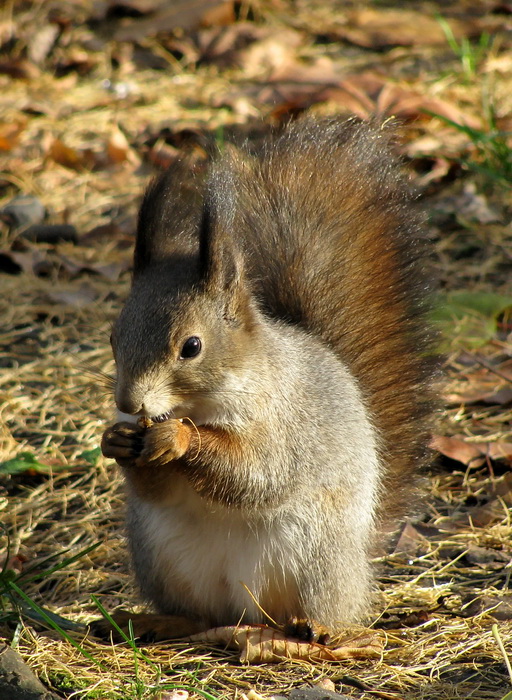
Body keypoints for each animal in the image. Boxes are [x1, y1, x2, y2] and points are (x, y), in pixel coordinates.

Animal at [100, 117, 436, 644]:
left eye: (191, 346)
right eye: (114, 337)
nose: (130, 403)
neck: (205, 401)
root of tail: (244, 612)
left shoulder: (286, 424)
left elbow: (257, 472)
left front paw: (179, 438)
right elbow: (157, 489)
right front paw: (114, 439)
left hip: (317, 558)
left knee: (325, 611)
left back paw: (316, 628)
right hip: (162, 559)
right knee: (199, 616)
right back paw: (157, 620)